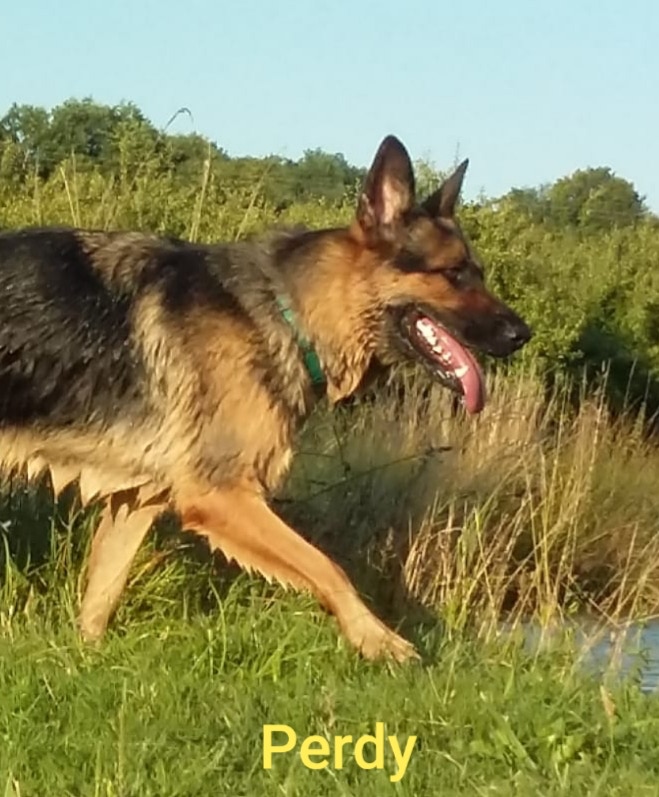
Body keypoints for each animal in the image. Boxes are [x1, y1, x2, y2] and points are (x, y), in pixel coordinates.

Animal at [0, 135, 531, 661]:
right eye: (454, 273)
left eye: (479, 273)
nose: (521, 334)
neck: (290, 312)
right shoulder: (222, 494)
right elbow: (328, 567)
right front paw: (378, 639)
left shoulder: (139, 499)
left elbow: (101, 597)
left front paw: (84, 660)